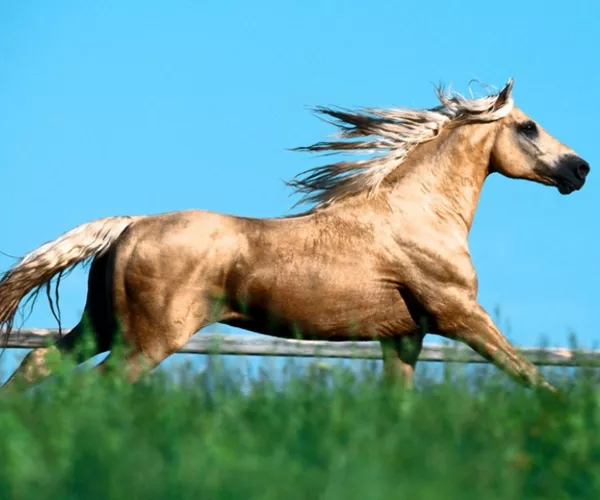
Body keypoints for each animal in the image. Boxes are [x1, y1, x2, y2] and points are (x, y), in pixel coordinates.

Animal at [0, 78, 592, 392]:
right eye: (529, 127)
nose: (580, 169)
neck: (417, 216)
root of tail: (131, 223)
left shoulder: (405, 337)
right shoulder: (461, 316)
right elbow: (532, 378)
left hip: (102, 326)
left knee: (37, 363)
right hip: (147, 340)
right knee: (93, 387)